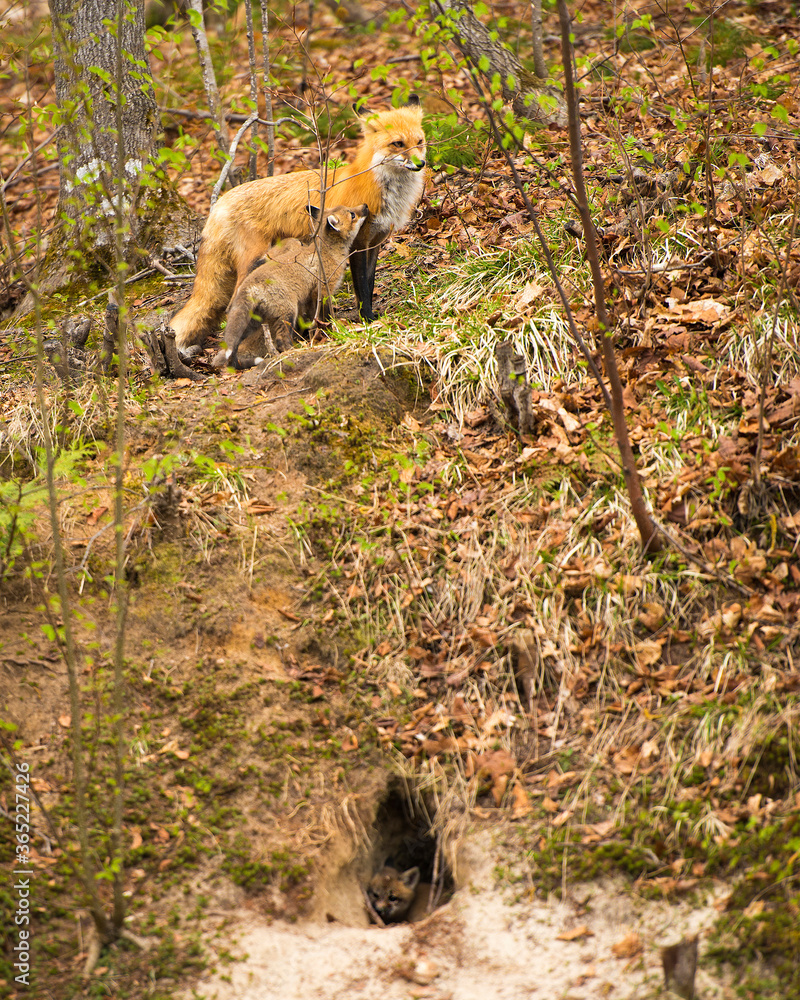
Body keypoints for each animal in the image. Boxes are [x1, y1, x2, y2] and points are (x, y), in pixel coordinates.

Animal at [213, 203, 367, 370]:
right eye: (352, 214)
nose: (365, 206)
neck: (327, 253)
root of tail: (248, 285)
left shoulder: (309, 298)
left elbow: (314, 319)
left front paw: (315, 334)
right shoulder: (324, 290)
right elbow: (327, 316)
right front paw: (332, 331)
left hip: (257, 320)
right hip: (288, 312)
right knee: (280, 340)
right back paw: (292, 351)